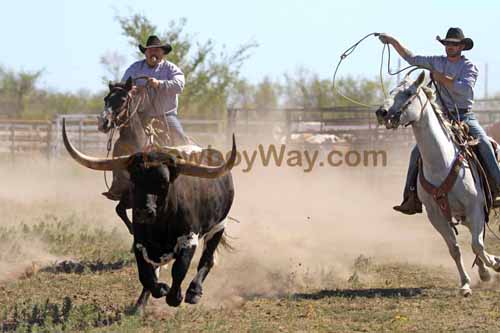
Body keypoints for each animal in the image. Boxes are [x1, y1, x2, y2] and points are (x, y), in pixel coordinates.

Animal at [378, 72, 500, 296]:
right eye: (391, 91)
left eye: (408, 92)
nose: (381, 112)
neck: (441, 161)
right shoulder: (436, 215)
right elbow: (455, 248)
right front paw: (466, 283)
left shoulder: (475, 206)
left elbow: (477, 244)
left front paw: (495, 264)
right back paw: (483, 271)